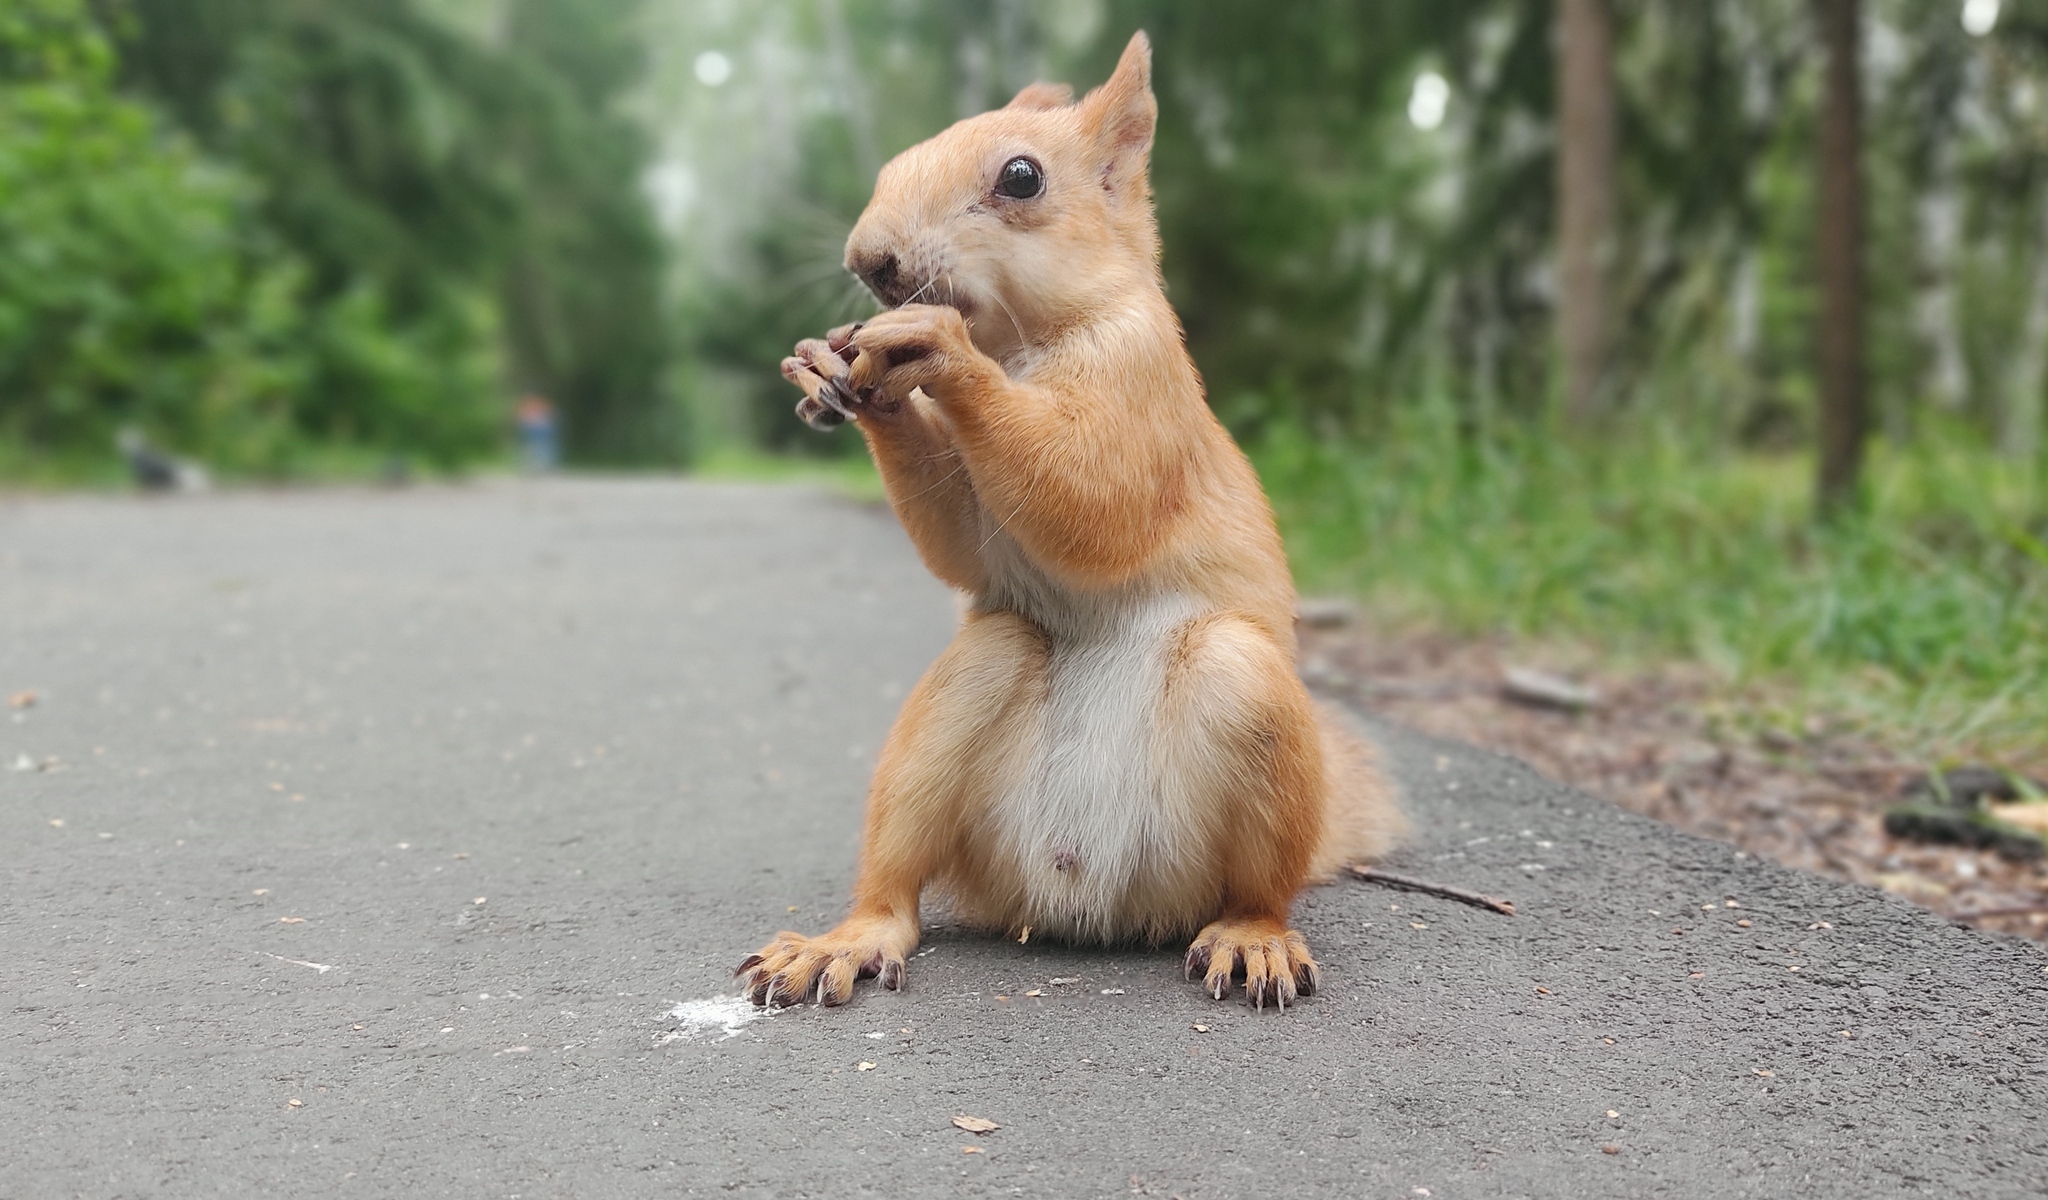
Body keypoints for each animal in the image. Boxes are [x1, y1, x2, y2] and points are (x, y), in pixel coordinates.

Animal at [753, 32, 1409, 1007]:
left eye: (1021, 178)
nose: (868, 260)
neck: (1017, 345)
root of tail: (1084, 906)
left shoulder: (1145, 389)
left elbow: (1088, 499)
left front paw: (933, 346)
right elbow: (963, 542)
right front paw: (834, 372)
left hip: (1245, 711)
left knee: (1257, 888)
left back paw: (1254, 940)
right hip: (964, 713)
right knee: (897, 892)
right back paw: (844, 942)